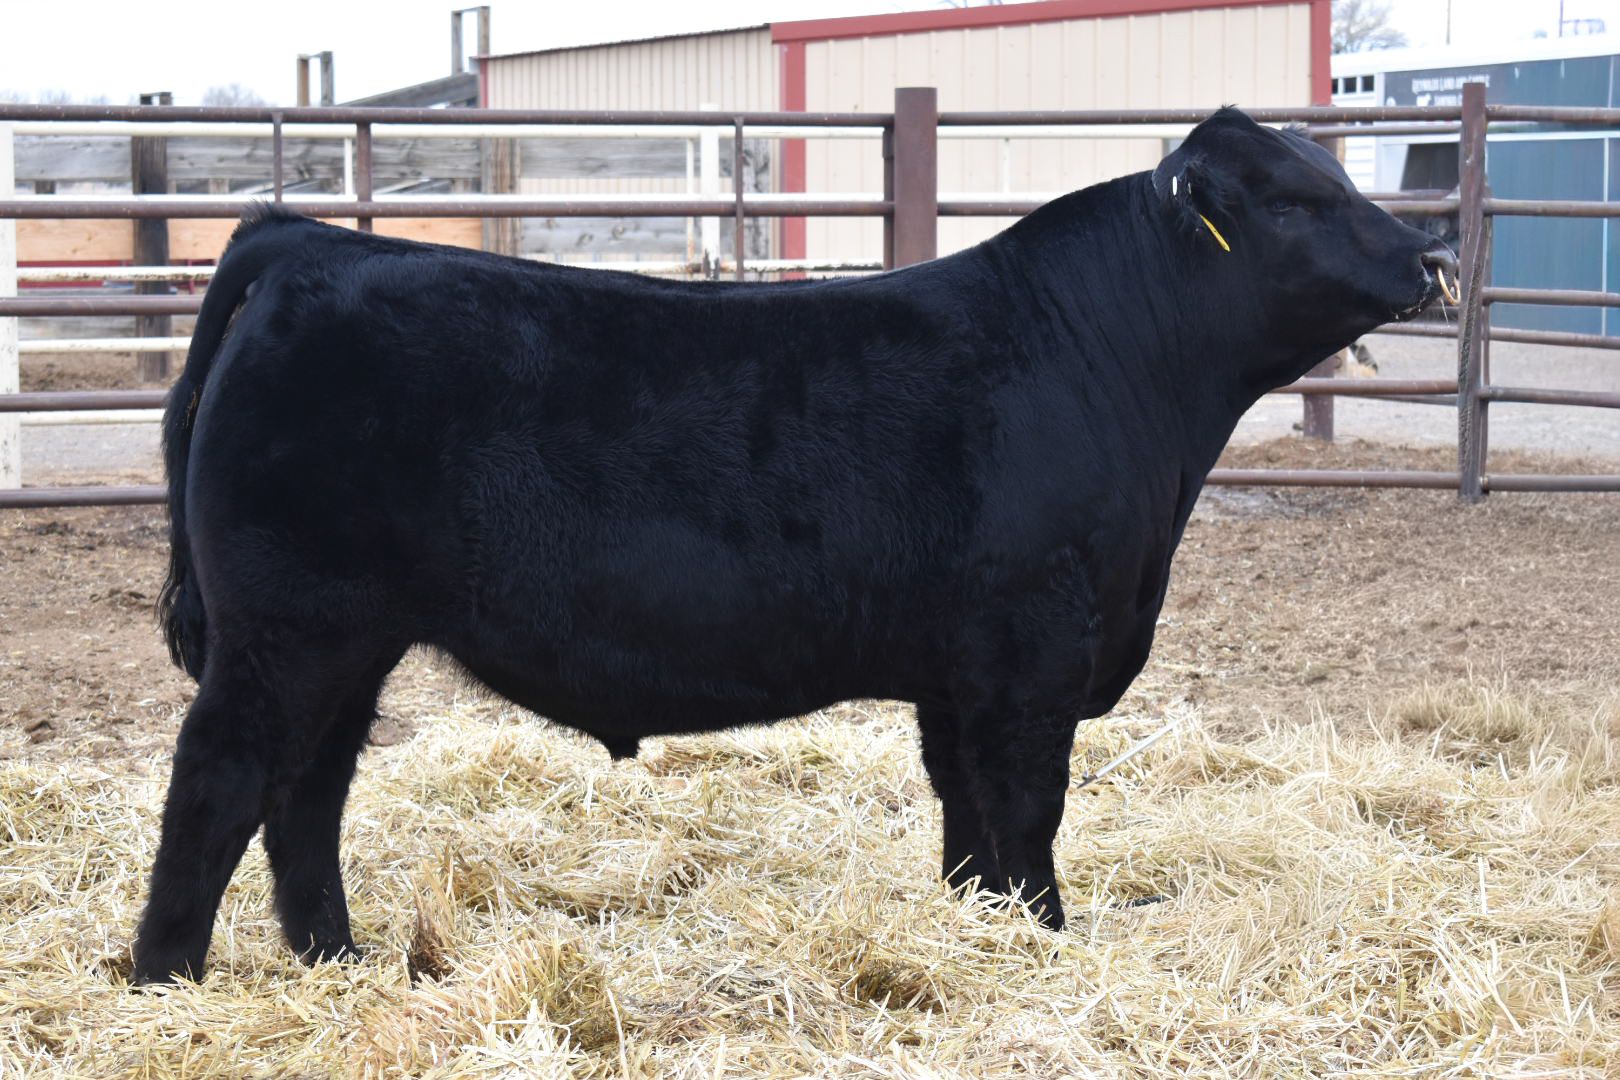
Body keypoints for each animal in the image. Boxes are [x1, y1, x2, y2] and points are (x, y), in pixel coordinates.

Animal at [131, 108, 1454, 985]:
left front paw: (976, 929)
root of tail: (312, 242)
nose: (1429, 259)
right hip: (288, 628)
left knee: (307, 792)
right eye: (1294, 199)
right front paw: (1043, 939)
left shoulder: (958, 672)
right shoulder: (1032, 651)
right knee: (221, 779)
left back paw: (338, 959)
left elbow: (967, 815)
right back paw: (168, 977)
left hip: (347, 642)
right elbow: (1028, 808)